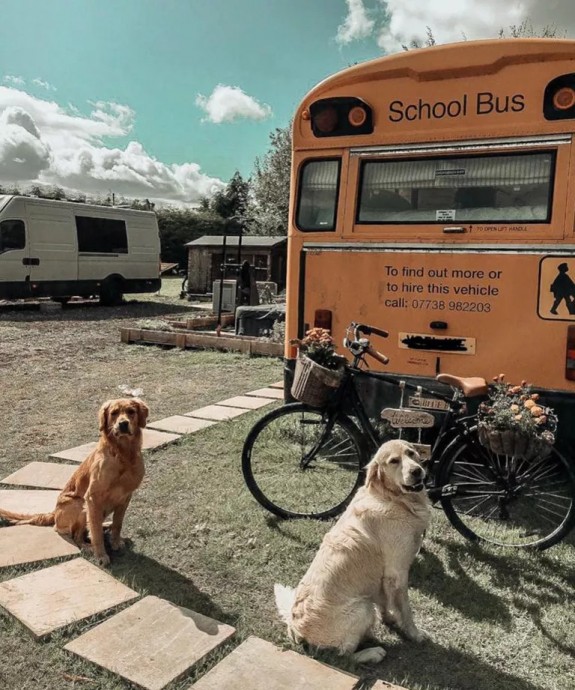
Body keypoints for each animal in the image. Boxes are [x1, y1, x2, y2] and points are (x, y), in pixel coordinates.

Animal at [276, 440, 432, 660]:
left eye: (411, 453)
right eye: (394, 461)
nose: (417, 471)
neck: (392, 498)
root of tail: (295, 628)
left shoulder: (383, 577)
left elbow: (385, 602)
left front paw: (389, 619)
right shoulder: (397, 572)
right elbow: (406, 609)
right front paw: (415, 634)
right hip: (363, 608)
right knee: (344, 655)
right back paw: (373, 652)